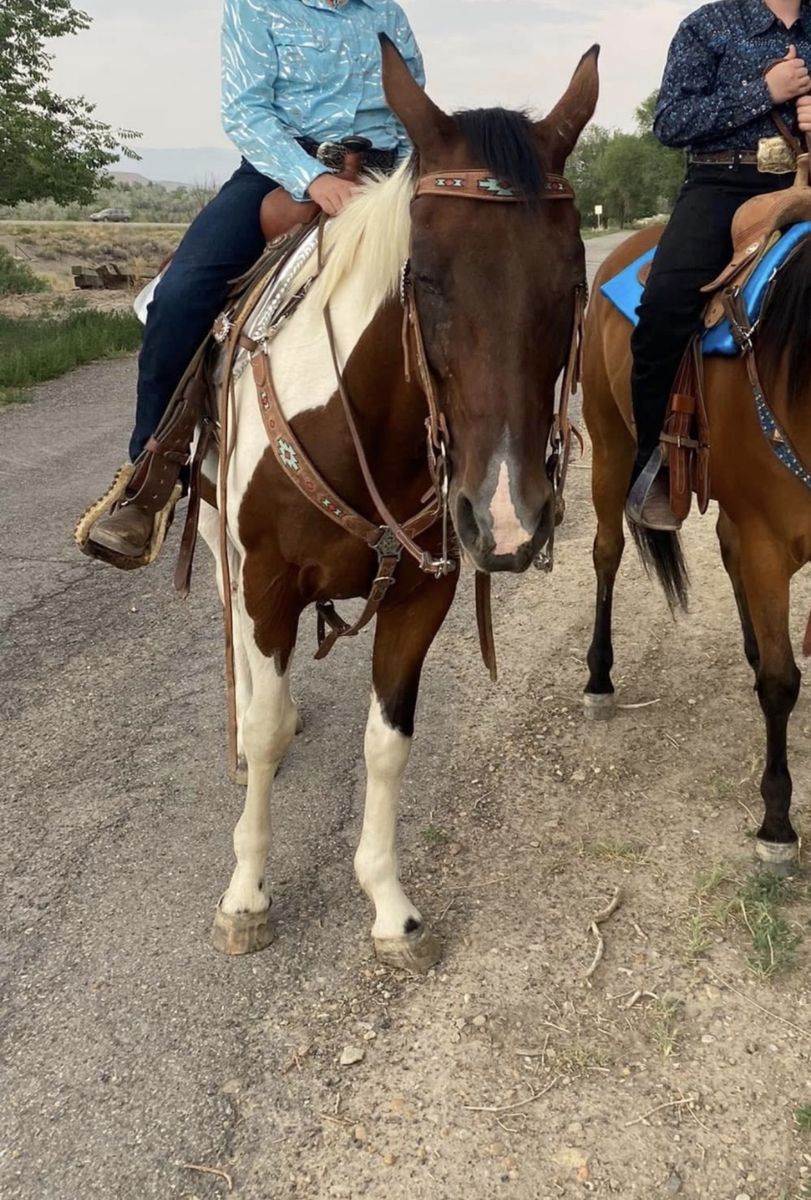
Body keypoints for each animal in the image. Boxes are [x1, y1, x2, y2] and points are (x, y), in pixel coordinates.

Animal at [196, 39, 600, 972]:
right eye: (427, 277)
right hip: (217, 540)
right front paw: (244, 897)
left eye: (570, 280)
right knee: (241, 659)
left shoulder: (425, 589)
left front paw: (388, 905)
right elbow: (262, 734)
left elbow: (387, 741)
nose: (509, 519)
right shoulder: (266, 578)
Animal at [582, 219, 811, 874]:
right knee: (607, 551)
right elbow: (782, 682)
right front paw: (777, 820)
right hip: (608, 444)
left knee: (728, 549)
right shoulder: (769, 543)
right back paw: (599, 677)